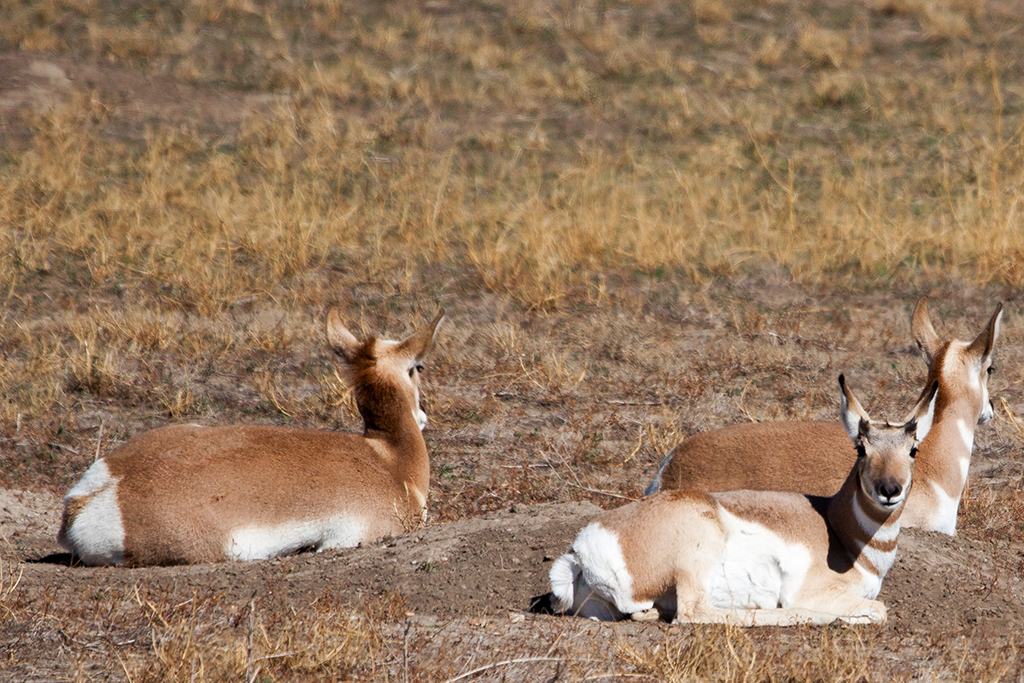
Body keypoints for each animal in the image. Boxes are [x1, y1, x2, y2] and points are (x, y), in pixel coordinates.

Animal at [552, 376, 937, 626]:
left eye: (912, 450)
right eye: (861, 448)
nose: (889, 489)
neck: (840, 532)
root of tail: (579, 550)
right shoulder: (816, 591)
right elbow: (879, 610)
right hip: (699, 549)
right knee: (694, 614)